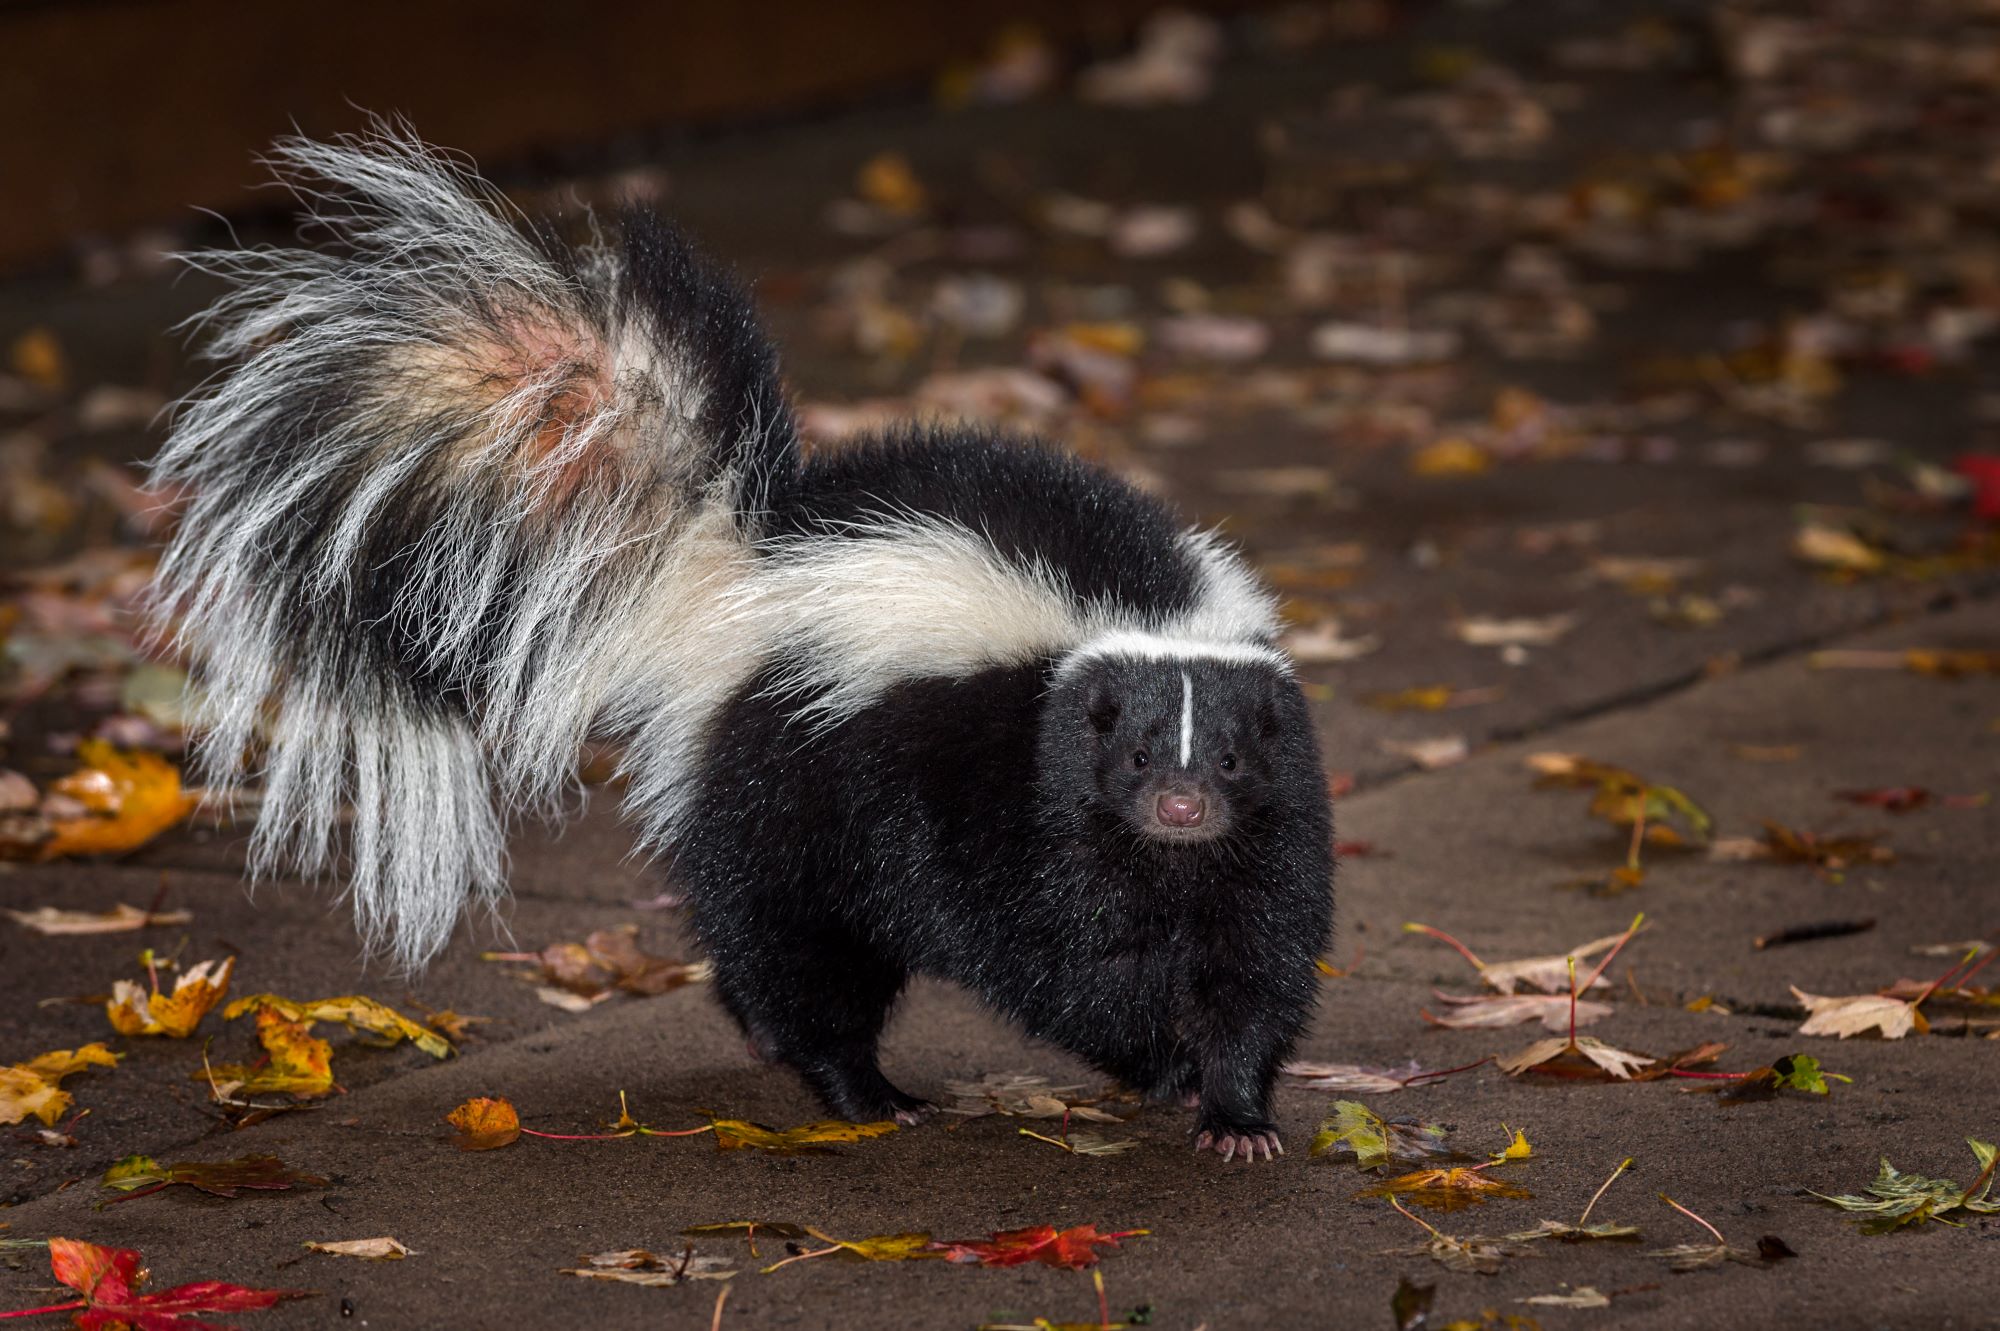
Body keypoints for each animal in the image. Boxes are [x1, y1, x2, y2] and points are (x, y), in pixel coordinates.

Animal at [156, 129, 1336, 1159]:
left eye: (1229, 756)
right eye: (1130, 753)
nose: (1179, 804)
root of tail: (733, 558)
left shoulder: (1267, 826)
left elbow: (1261, 954)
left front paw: (1234, 1108)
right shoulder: (1014, 802)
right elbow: (1060, 957)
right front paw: (1161, 1061)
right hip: (795, 780)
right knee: (797, 947)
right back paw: (863, 1088)